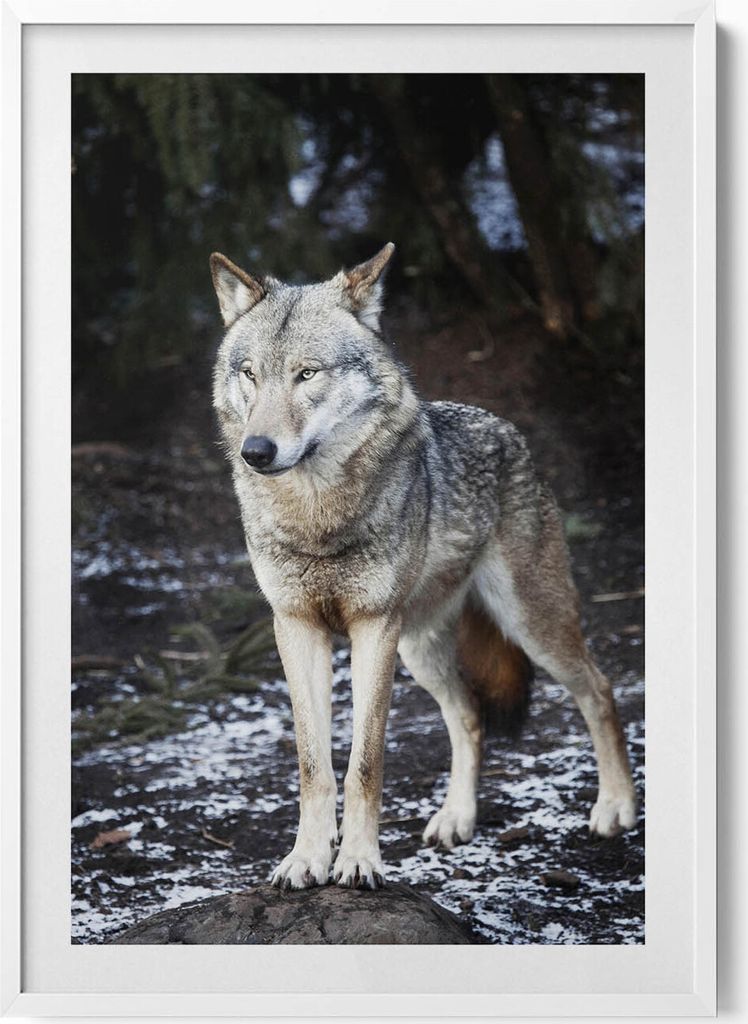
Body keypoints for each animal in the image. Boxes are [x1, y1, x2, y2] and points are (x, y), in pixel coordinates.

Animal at [210, 243, 637, 891]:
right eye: (250, 374)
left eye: (308, 373)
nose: (256, 452)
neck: (316, 517)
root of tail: (510, 431)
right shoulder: (297, 627)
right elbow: (313, 765)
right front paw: (307, 859)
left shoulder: (372, 627)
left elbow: (364, 763)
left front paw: (358, 861)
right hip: (420, 650)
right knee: (469, 717)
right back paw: (457, 817)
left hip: (530, 626)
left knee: (601, 690)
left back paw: (616, 806)